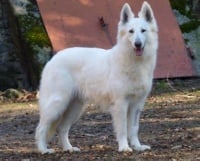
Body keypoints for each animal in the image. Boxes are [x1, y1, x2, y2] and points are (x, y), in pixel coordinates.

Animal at [35, 1, 158, 155]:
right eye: (131, 31)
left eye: (143, 31)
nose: (137, 44)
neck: (134, 62)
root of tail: (52, 59)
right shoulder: (121, 104)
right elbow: (123, 129)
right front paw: (124, 147)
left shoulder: (136, 105)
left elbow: (134, 128)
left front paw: (137, 146)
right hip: (57, 104)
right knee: (41, 128)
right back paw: (43, 149)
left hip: (75, 108)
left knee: (61, 128)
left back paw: (69, 148)